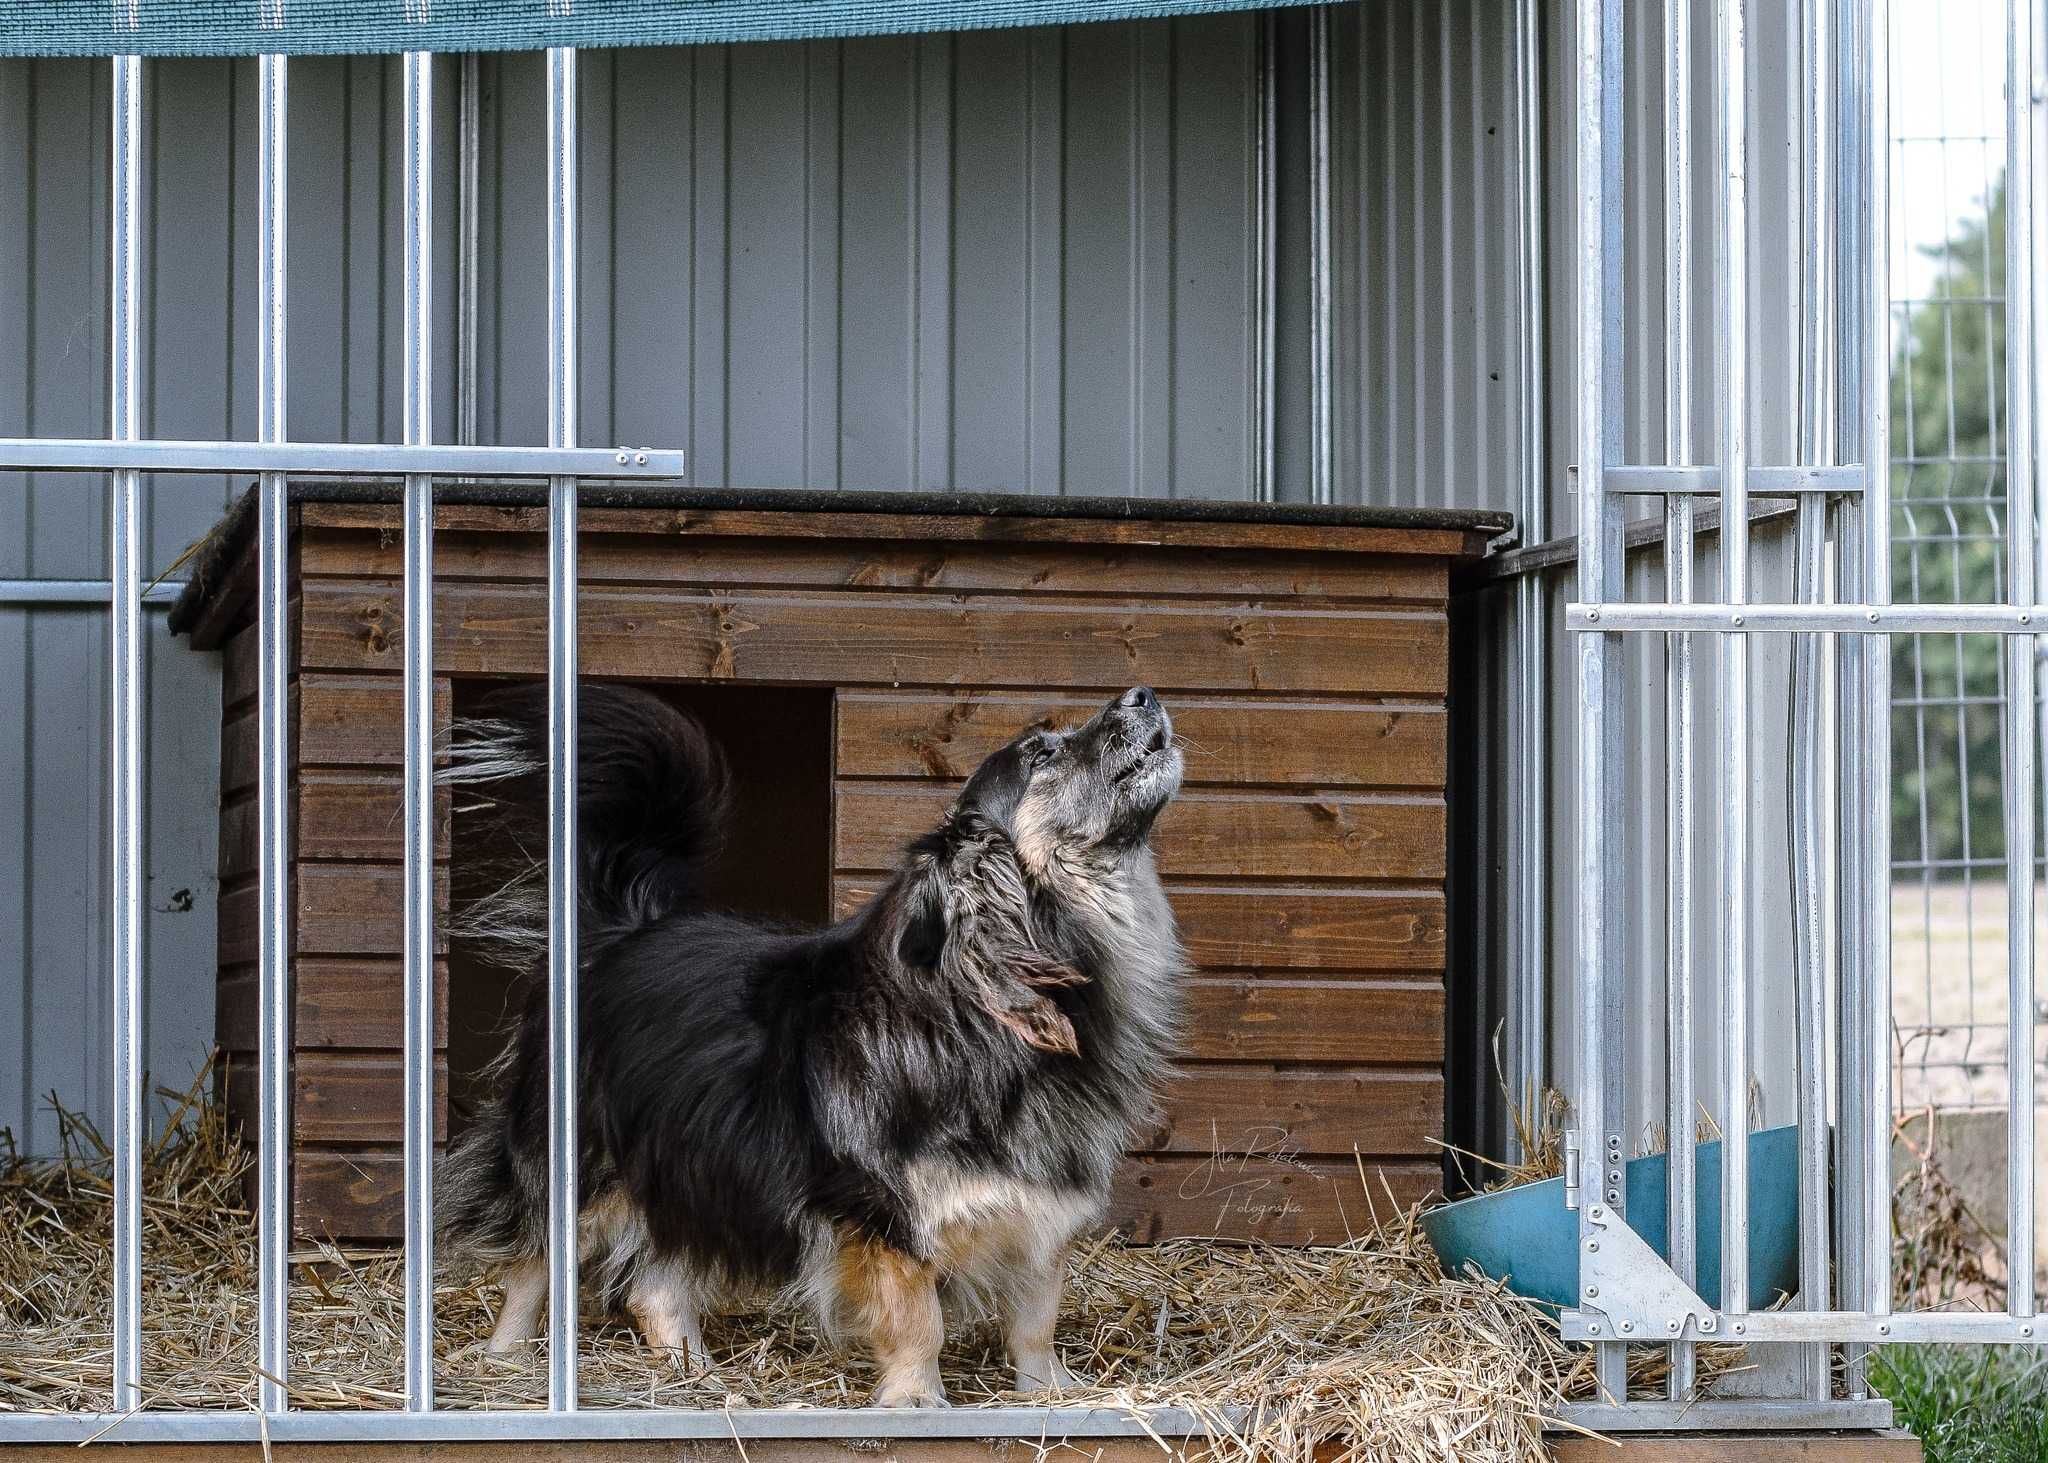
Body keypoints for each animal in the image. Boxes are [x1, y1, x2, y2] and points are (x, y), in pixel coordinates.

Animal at [440, 684, 1196, 1401]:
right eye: (1043, 754)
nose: (1143, 694)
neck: (984, 1002)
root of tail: (624, 928)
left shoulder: (1041, 1206)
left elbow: (1037, 1315)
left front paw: (1049, 1391)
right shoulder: (883, 1211)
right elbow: (918, 1319)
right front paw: (916, 1399)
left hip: (690, 1163)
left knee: (654, 1286)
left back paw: (694, 1372)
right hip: (584, 1166)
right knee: (534, 1260)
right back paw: (503, 1358)